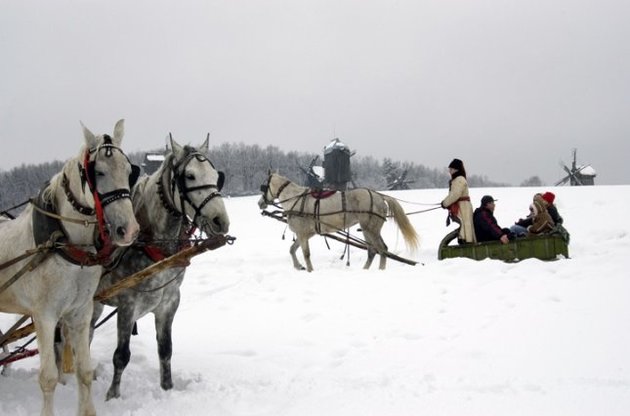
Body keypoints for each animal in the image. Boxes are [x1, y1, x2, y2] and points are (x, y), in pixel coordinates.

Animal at [0, 118, 139, 414]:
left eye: (129, 170)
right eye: (98, 172)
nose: (129, 230)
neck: (67, 248)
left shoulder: (80, 312)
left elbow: (84, 370)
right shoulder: (44, 315)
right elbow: (48, 377)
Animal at [92, 136, 231, 400]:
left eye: (215, 174)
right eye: (189, 176)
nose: (221, 221)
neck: (153, 245)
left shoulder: (169, 301)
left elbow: (165, 349)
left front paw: (167, 389)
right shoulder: (128, 305)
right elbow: (121, 356)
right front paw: (112, 396)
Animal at [256, 171, 420, 272]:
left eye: (264, 187)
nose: (260, 203)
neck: (295, 199)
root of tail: (380, 196)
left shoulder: (302, 234)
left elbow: (306, 254)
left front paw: (309, 270)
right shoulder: (305, 234)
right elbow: (292, 250)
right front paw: (299, 267)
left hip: (371, 228)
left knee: (382, 249)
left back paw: (380, 270)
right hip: (367, 229)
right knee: (373, 251)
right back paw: (365, 270)